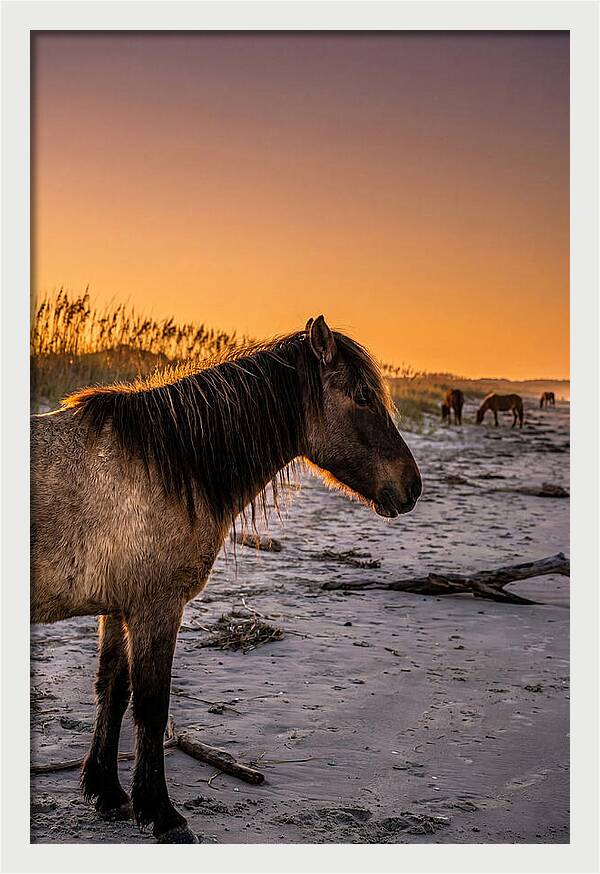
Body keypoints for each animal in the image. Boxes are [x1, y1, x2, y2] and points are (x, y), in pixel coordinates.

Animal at [31, 315, 422, 844]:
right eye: (363, 397)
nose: (412, 487)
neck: (168, 465)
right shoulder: (157, 608)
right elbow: (151, 704)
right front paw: (161, 814)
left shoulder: (118, 607)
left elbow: (112, 688)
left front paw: (107, 792)